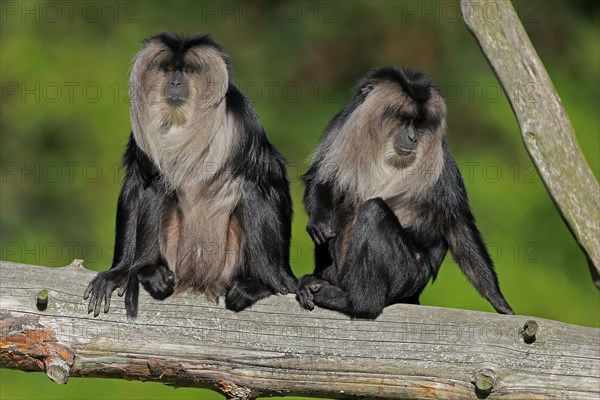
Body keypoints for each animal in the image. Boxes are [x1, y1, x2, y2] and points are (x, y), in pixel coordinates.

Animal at [84, 32, 296, 318]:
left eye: (187, 70)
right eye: (168, 69)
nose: (175, 82)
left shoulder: (243, 121)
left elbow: (271, 180)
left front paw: (283, 279)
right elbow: (138, 184)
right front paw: (119, 272)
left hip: (229, 265)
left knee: (254, 191)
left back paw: (257, 285)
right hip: (176, 259)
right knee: (160, 186)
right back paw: (150, 272)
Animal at [296, 67, 510, 320]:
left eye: (419, 123)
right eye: (404, 119)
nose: (413, 138)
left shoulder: (442, 158)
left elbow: (458, 224)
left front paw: (499, 302)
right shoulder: (342, 126)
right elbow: (322, 180)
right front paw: (318, 219)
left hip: (408, 274)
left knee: (373, 211)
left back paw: (357, 303)